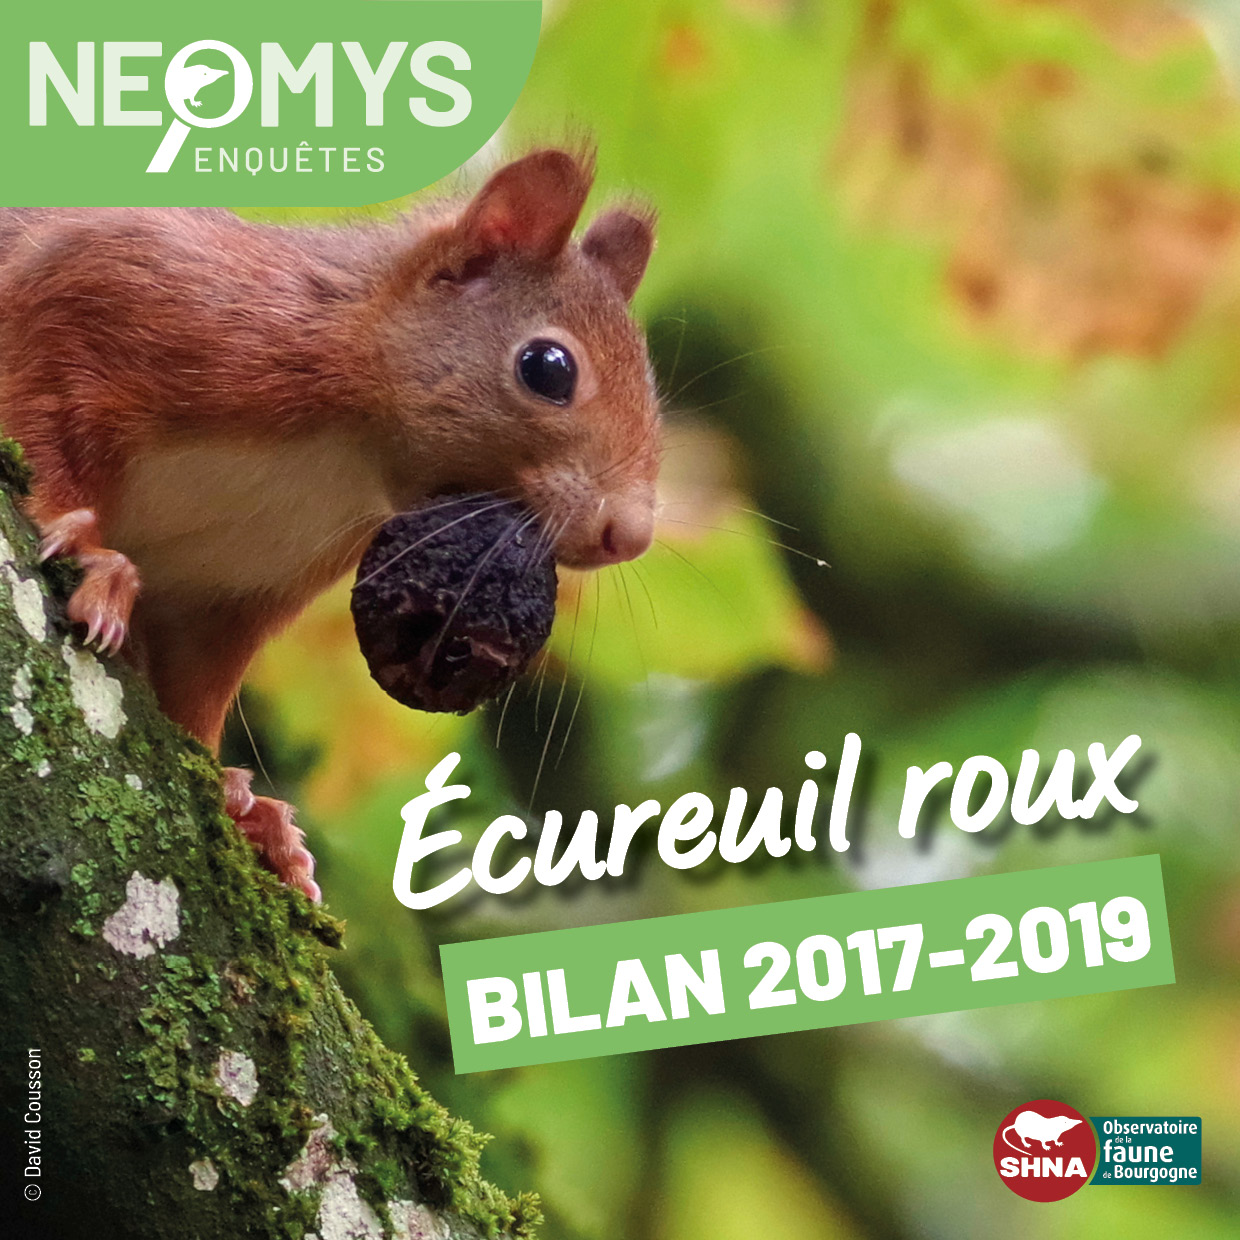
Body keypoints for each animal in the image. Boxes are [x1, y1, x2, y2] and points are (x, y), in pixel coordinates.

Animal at [0, 148, 659, 903]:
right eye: (548, 368)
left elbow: (196, 688)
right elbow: (39, 393)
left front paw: (242, 807)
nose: (630, 534)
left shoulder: (234, 589)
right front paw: (86, 547)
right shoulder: (125, 283)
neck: (346, 454)